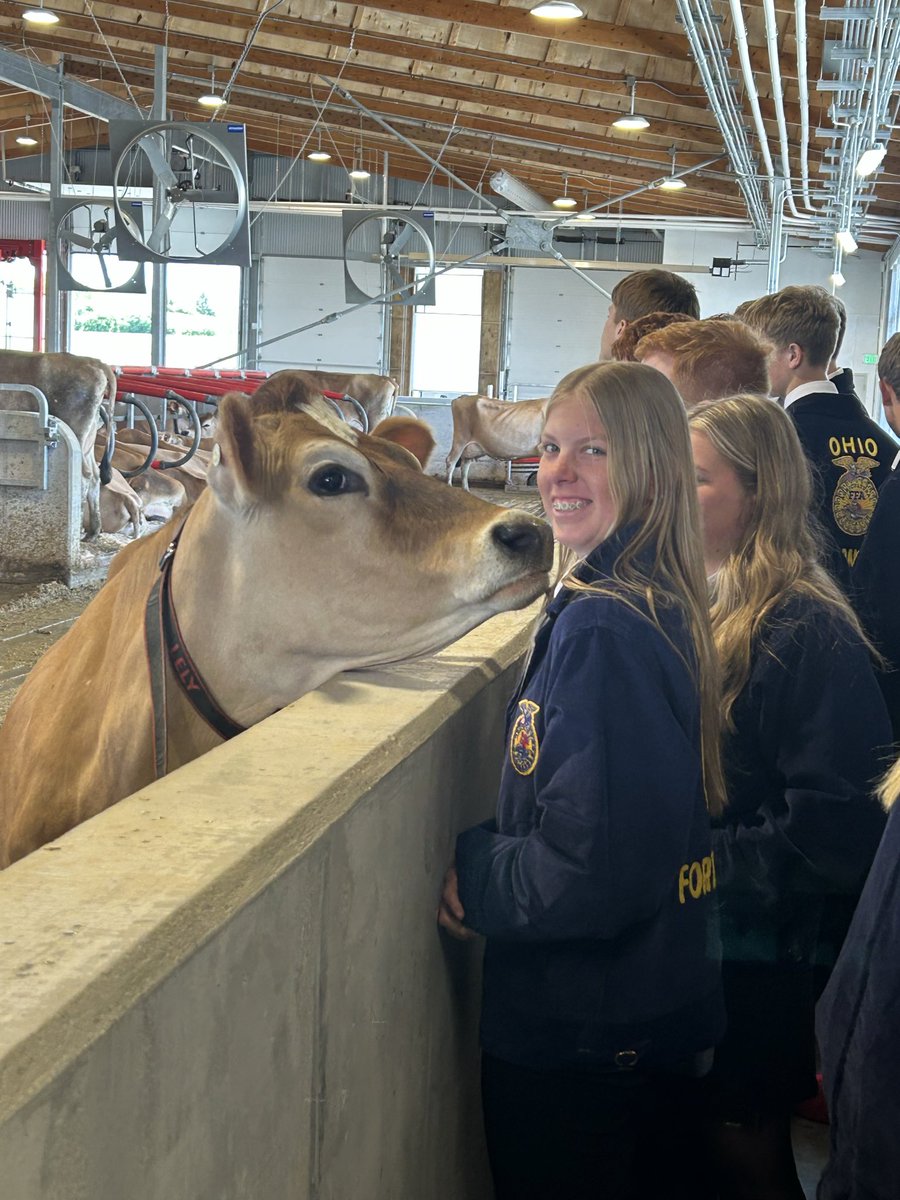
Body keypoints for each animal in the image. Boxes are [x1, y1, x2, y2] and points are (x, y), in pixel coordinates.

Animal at [0, 350, 116, 537]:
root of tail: (95, 362)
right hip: (88, 442)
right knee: (95, 476)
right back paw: (93, 532)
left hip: (78, 434)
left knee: (84, 476)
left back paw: (78, 528)